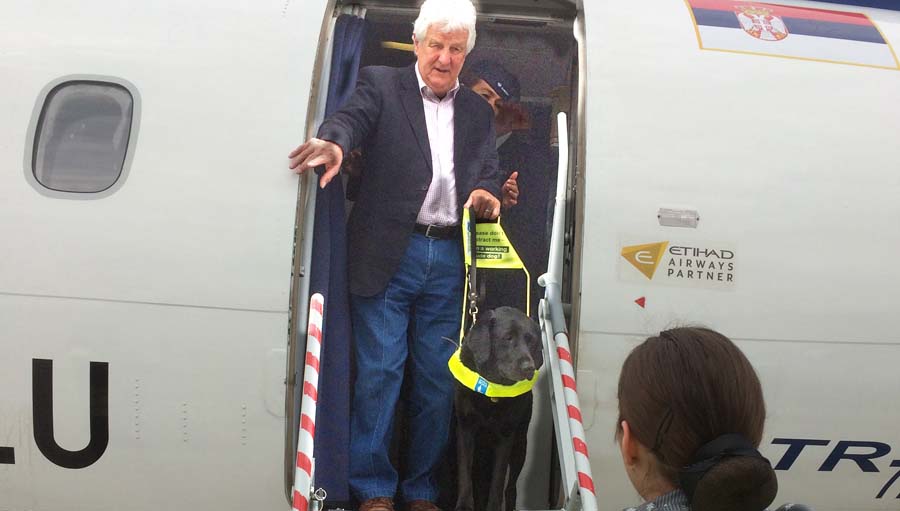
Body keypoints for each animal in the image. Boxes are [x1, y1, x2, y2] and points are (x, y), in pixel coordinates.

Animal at [458, 308, 540, 511]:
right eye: (508, 337)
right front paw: (464, 505)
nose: (529, 367)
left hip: (520, 445)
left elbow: (498, 480)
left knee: (510, 487)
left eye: (531, 340)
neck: (492, 388)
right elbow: (464, 472)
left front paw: (493, 506)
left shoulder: (506, 437)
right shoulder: (465, 429)